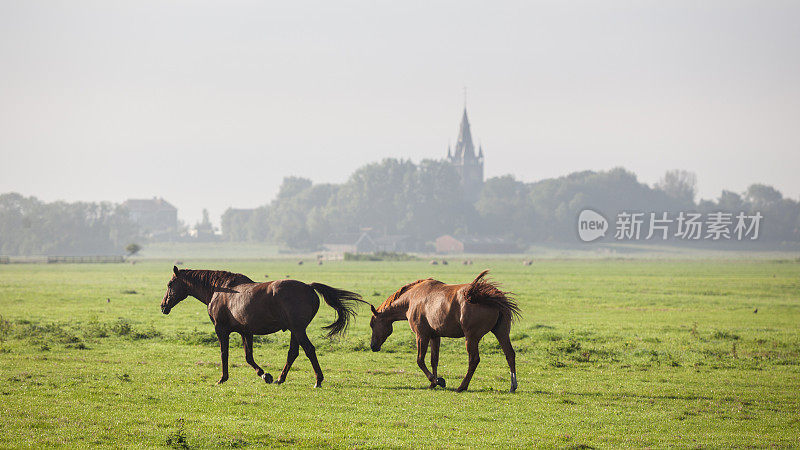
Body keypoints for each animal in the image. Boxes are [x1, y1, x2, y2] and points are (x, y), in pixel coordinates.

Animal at [160, 268, 366, 386]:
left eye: (170, 284)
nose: (163, 306)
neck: (220, 290)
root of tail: (309, 287)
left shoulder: (221, 330)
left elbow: (224, 353)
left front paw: (223, 378)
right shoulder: (246, 332)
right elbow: (249, 357)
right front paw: (265, 375)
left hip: (298, 330)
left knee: (309, 350)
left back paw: (318, 380)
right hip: (295, 331)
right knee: (293, 353)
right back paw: (280, 379)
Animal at [368, 268, 520, 392]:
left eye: (372, 324)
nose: (373, 346)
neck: (412, 298)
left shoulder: (421, 335)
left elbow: (420, 360)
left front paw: (436, 381)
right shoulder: (435, 336)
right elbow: (434, 360)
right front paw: (434, 382)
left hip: (471, 338)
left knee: (474, 359)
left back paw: (462, 386)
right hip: (501, 332)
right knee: (509, 354)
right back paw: (512, 386)